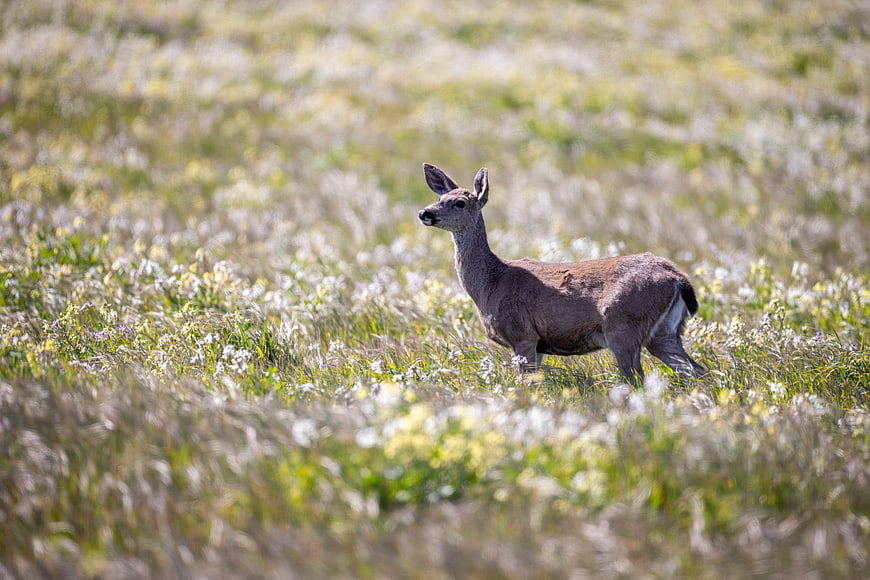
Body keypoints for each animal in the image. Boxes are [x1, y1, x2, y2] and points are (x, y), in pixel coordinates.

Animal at [417, 163, 706, 387]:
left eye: (459, 202)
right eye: (440, 198)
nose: (425, 212)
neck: (491, 283)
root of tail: (678, 279)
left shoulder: (522, 333)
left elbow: (527, 385)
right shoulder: (535, 343)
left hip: (624, 325)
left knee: (639, 379)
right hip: (665, 332)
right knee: (697, 370)